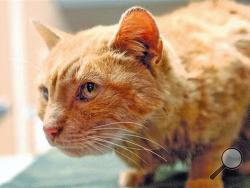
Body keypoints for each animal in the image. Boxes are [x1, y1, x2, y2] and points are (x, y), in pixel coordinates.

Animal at [33, 0, 250, 187]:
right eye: (45, 93)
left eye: (89, 88)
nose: (48, 129)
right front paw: (140, 173)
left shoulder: (229, 113)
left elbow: (208, 156)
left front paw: (201, 181)